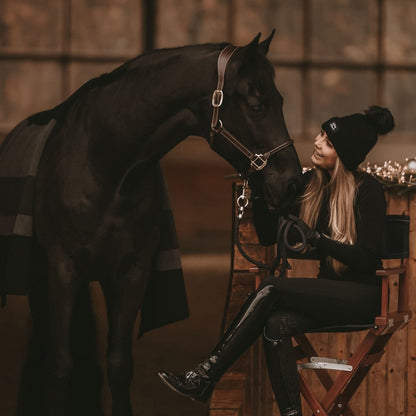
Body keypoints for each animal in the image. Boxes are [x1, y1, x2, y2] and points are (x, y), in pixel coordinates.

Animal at [0, 33, 302, 416]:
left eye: (280, 101)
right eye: (258, 105)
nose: (292, 183)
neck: (105, 167)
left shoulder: (132, 272)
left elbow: (119, 364)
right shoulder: (62, 269)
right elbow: (59, 365)